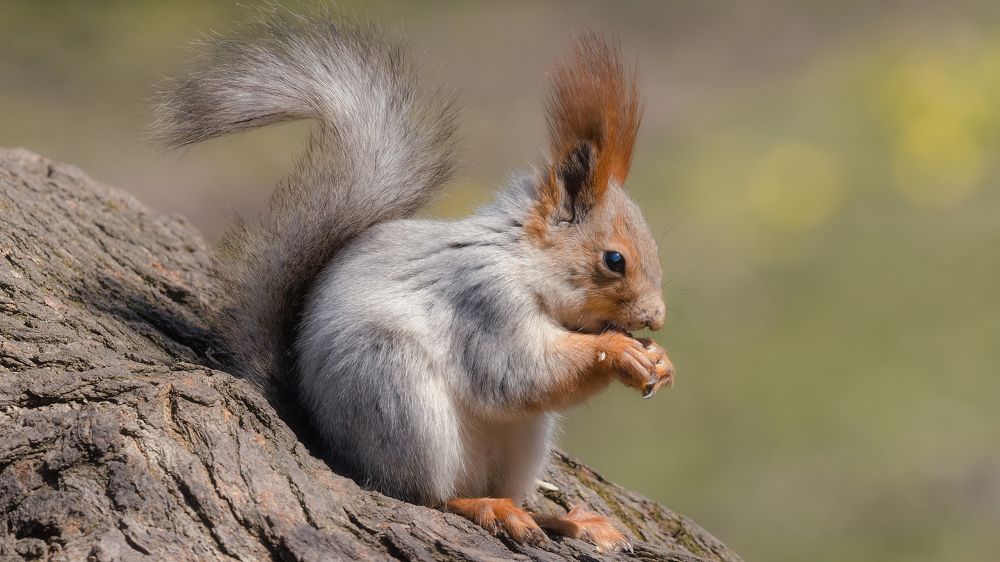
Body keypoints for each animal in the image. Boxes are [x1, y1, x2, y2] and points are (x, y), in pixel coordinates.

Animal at [155, 11, 674, 553]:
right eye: (614, 260)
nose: (656, 318)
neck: (522, 262)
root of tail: (327, 434)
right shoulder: (483, 301)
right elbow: (518, 373)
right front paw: (620, 350)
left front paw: (659, 360)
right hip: (397, 392)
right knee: (428, 495)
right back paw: (483, 506)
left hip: (520, 439)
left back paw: (564, 520)